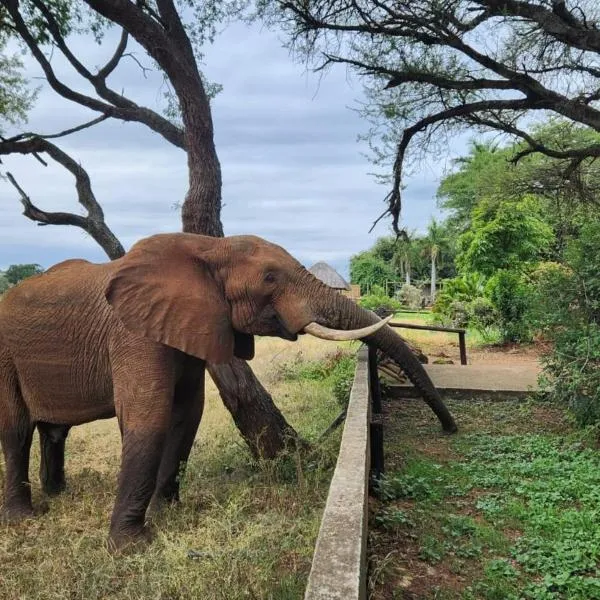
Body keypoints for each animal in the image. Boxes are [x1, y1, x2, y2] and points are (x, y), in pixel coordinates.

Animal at [0, 233, 454, 548]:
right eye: (270, 278)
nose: (450, 428)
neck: (206, 247)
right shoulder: (133, 334)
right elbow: (149, 418)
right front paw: (131, 547)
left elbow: (187, 415)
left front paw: (169, 512)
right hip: (4, 355)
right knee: (17, 429)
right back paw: (24, 518)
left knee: (53, 430)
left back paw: (58, 494)